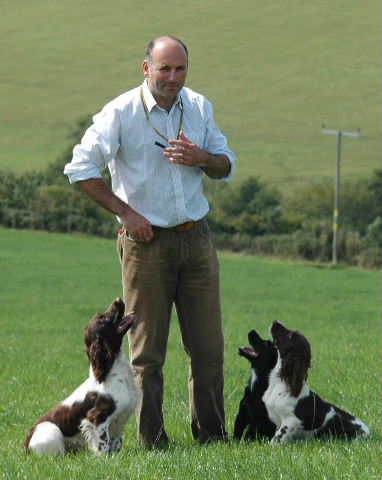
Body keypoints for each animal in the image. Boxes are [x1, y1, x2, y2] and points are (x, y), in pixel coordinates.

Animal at [24, 298, 140, 456]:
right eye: (104, 318)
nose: (118, 299)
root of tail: (26, 444)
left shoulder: (121, 417)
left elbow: (116, 443)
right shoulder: (96, 417)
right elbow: (103, 444)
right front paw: (104, 459)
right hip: (52, 430)